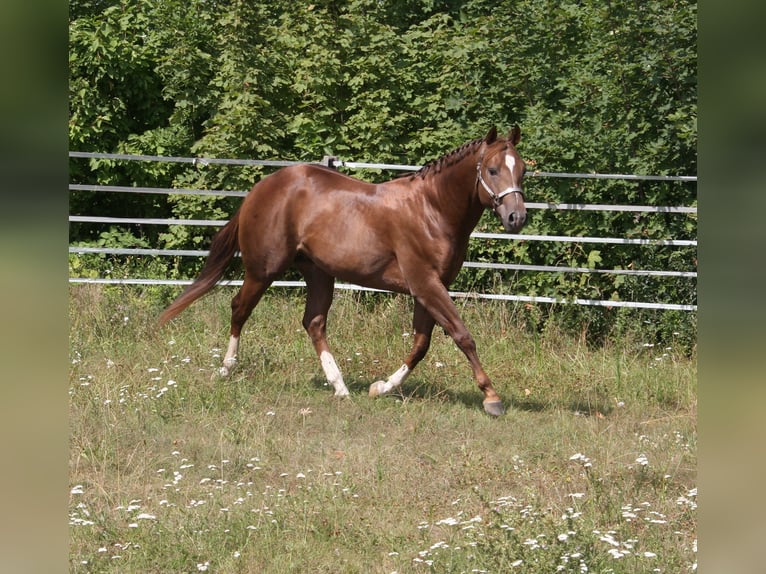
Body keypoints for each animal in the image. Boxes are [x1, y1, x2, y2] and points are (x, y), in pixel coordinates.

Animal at [159, 126, 527, 416]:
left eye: (522, 170)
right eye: (492, 170)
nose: (517, 218)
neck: (431, 210)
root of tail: (260, 188)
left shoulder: (430, 287)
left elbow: (421, 344)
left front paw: (381, 387)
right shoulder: (425, 285)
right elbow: (462, 335)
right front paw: (492, 398)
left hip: (319, 274)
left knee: (313, 323)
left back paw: (340, 387)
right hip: (263, 270)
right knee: (240, 309)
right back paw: (226, 369)